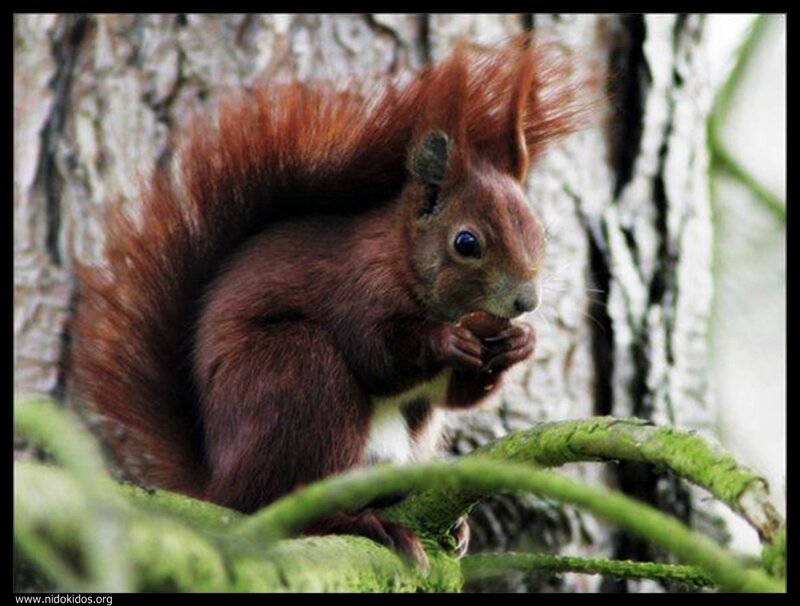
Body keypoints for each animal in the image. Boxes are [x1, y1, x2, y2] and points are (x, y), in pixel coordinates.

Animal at [70, 36, 583, 565]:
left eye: (539, 230)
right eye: (466, 242)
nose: (526, 301)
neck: (399, 258)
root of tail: (219, 487)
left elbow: (456, 396)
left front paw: (521, 344)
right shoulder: (352, 289)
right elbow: (374, 355)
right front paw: (444, 341)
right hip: (299, 375)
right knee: (285, 503)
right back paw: (359, 525)